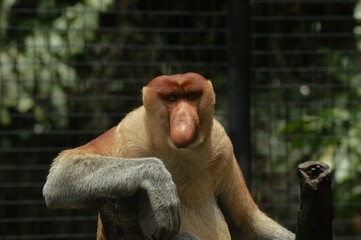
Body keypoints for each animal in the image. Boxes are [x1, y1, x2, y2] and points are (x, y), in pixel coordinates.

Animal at [43, 72, 296, 239]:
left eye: (192, 96)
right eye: (172, 99)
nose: (184, 120)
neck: (179, 153)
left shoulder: (223, 145)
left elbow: (248, 220)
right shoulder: (131, 130)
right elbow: (62, 174)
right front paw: (160, 182)